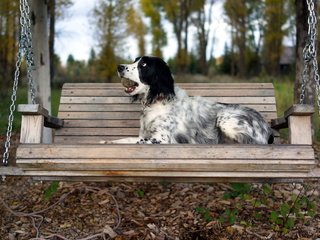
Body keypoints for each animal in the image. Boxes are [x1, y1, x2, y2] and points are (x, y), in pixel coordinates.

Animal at [114, 55, 274, 144]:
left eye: (144, 65)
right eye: (135, 61)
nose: (119, 66)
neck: (156, 101)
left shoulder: (162, 138)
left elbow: (128, 140)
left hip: (225, 119)